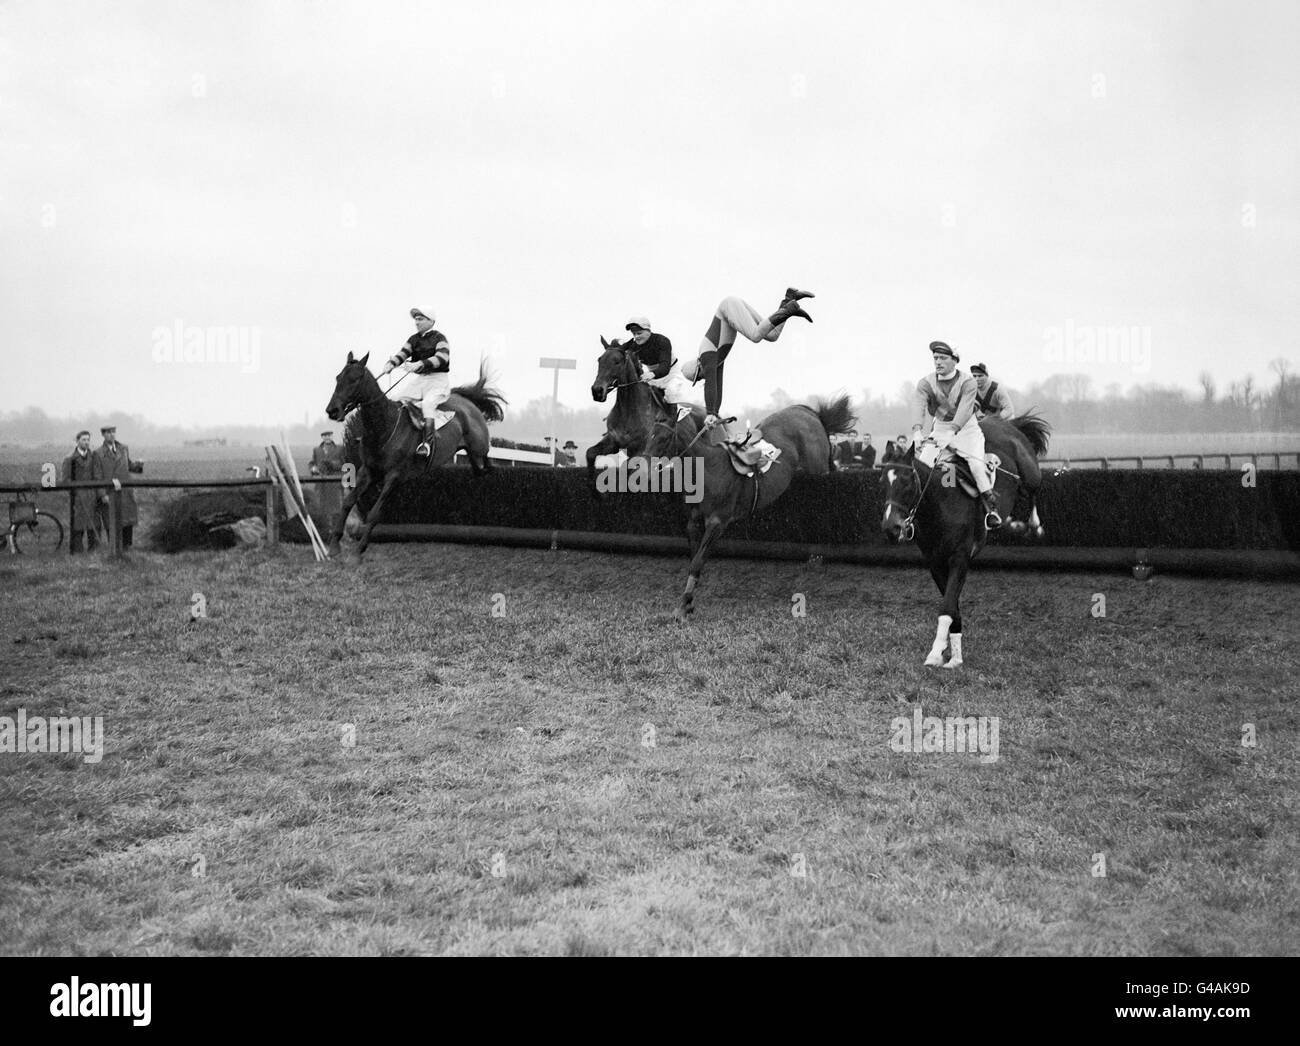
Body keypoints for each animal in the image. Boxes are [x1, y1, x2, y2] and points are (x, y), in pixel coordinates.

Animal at [322, 353, 504, 556]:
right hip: (472, 454)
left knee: (487, 463)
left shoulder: (393, 476)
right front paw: (334, 545)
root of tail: (467, 402)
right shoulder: (368, 471)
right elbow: (347, 503)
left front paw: (359, 549)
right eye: (338, 378)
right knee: (479, 468)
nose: (332, 410)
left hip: (479, 446)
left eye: (354, 379)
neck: (384, 427)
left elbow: (374, 513)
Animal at [644, 395, 857, 615]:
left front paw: (682, 606)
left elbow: (697, 562)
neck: (709, 470)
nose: (644, 468)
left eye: (663, 437)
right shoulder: (694, 521)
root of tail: (808, 412)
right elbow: (695, 559)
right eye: (650, 433)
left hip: (819, 470)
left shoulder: (717, 522)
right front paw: (688, 603)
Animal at [878, 413, 1050, 665]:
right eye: (882, 482)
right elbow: (952, 607)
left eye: (908, 481)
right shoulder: (935, 563)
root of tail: (1006, 423)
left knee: (1033, 490)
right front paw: (951, 652)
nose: (891, 527)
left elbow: (947, 606)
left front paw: (935, 652)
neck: (941, 505)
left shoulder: (960, 558)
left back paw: (1032, 524)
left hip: (1030, 473)